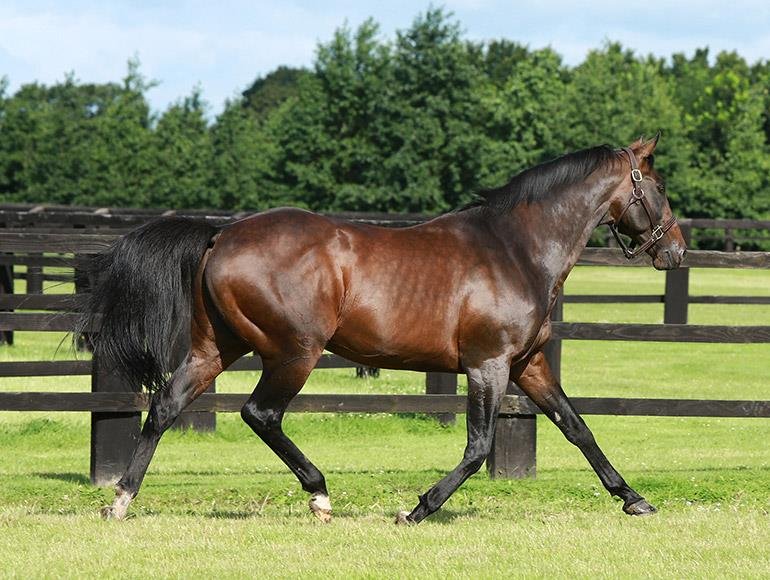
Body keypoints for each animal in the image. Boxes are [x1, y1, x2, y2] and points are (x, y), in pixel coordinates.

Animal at [81, 134, 686, 524]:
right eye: (657, 187)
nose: (675, 251)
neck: (515, 249)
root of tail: (222, 234)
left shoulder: (527, 365)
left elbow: (577, 428)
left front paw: (634, 499)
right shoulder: (487, 365)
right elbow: (479, 446)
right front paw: (417, 508)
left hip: (216, 348)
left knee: (165, 406)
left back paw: (122, 501)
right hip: (295, 351)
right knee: (260, 414)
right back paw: (320, 495)